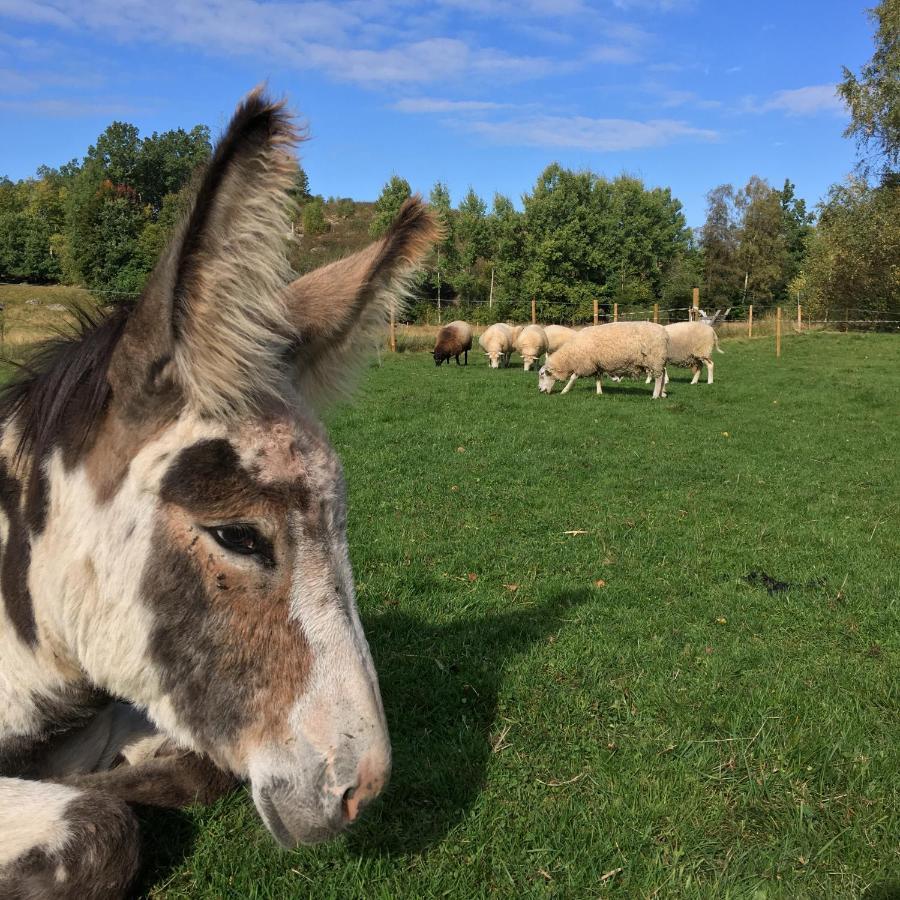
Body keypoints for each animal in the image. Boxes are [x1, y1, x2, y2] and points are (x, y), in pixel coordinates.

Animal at [536, 320, 668, 398]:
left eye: (542, 375)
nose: (539, 390)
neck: (571, 355)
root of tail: (664, 332)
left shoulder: (584, 364)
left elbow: (573, 377)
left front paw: (564, 390)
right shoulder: (596, 364)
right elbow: (598, 378)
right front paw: (599, 392)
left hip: (655, 359)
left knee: (659, 377)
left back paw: (655, 395)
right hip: (659, 360)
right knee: (663, 374)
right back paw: (663, 393)